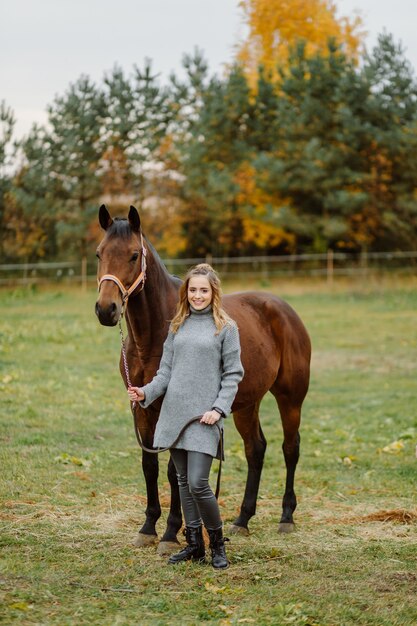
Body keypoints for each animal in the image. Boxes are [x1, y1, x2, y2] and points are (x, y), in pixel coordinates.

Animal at [94, 205, 308, 552]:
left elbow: (172, 471)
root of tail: (282, 308)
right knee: (256, 449)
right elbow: (149, 466)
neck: (154, 334)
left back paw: (286, 517)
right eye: (99, 253)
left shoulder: (171, 410)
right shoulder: (142, 408)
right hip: (245, 403)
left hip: (290, 398)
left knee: (291, 448)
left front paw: (170, 533)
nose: (106, 309)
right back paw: (242, 520)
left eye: (133, 255)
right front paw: (148, 527)